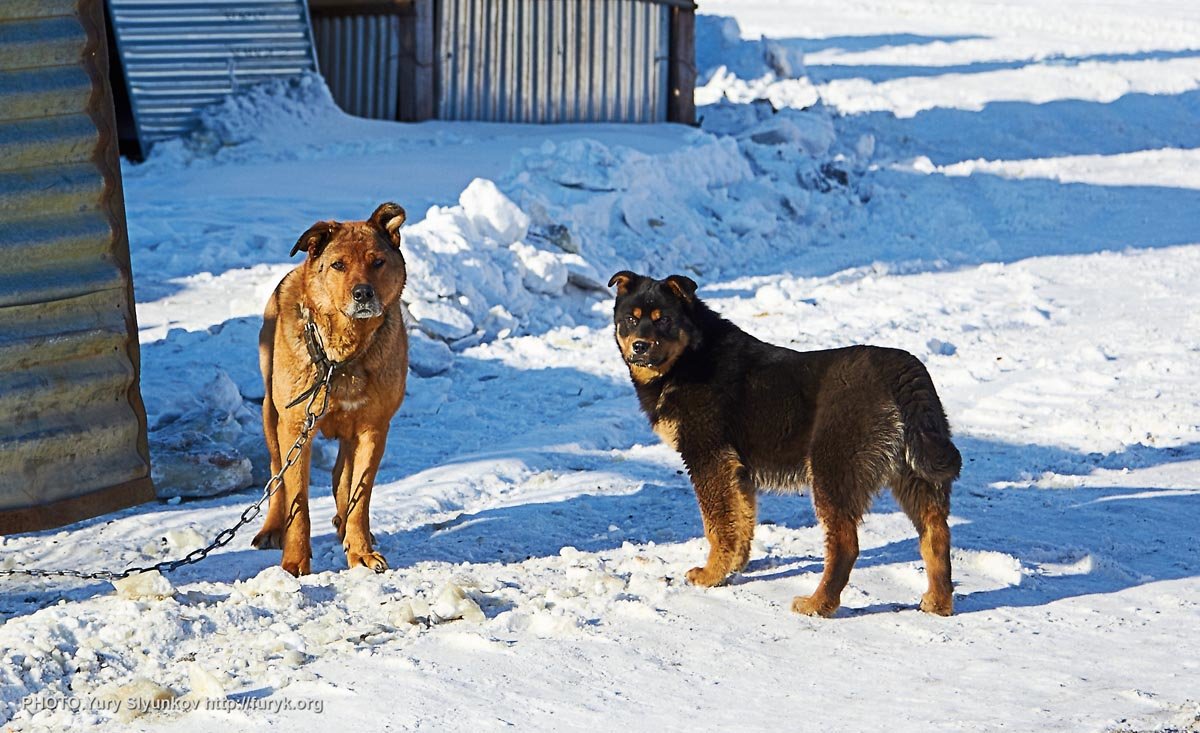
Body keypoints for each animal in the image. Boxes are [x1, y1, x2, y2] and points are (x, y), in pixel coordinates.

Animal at [250, 203, 410, 575]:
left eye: (377, 261)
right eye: (338, 265)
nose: (363, 293)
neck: (342, 355)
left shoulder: (373, 428)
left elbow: (359, 496)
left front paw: (361, 550)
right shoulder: (296, 426)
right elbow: (298, 503)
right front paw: (294, 562)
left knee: (342, 476)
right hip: (271, 413)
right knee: (276, 473)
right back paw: (272, 529)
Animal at [614, 272, 960, 614]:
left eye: (664, 319)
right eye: (631, 319)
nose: (640, 346)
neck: (690, 358)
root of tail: (901, 372)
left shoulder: (708, 458)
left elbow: (718, 526)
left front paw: (711, 574)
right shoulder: (735, 470)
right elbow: (741, 522)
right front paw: (732, 568)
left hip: (833, 472)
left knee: (845, 545)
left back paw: (818, 604)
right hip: (916, 476)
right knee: (937, 535)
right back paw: (938, 602)